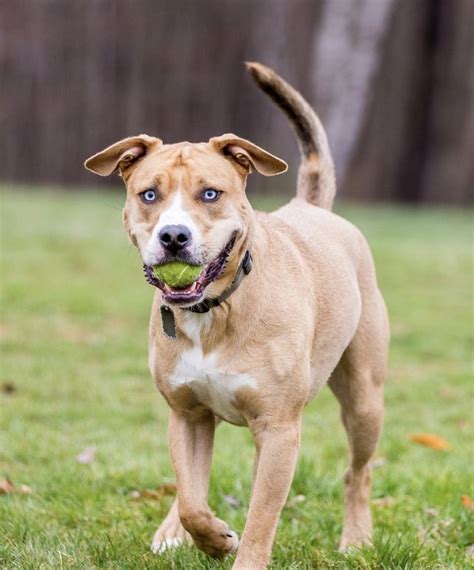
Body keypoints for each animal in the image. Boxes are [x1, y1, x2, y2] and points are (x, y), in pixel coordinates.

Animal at [84, 63, 388, 568]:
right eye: (149, 194)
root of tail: (311, 208)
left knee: (358, 472)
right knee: (193, 486)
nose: (173, 236)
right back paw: (173, 530)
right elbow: (192, 497)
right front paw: (211, 537)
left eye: (211, 193)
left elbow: (262, 516)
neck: (216, 310)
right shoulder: (186, 415)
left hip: (364, 396)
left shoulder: (279, 429)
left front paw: (240, 550)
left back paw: (358, 539)